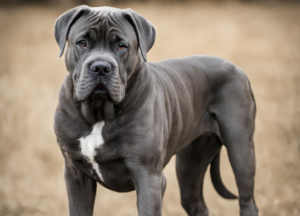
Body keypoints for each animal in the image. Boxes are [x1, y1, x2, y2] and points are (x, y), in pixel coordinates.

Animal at [53, 5, 258, 216]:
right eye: (82, 43)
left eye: (121, 46)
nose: (101, 67)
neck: (98, 113)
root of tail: (238, 70)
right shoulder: (76, 175)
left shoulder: (148, 177)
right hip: (190, 163)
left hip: (240, 149)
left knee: (247, 199)